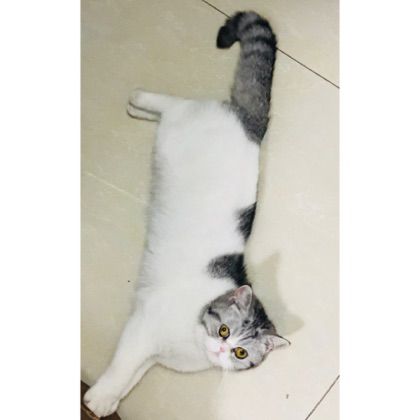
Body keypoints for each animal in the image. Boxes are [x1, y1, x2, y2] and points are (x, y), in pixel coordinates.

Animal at [84, 11, 290, 417]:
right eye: (225, 331)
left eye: (241, 353)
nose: (222, 349)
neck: (190, 345)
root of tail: (252, 124)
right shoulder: (142, 327)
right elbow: (121, 368)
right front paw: (98, 399)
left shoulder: (150, 353)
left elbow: (132, 378)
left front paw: (111, 400)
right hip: (185, 123)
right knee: (176, 103)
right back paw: (139, 99)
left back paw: (136, 107)